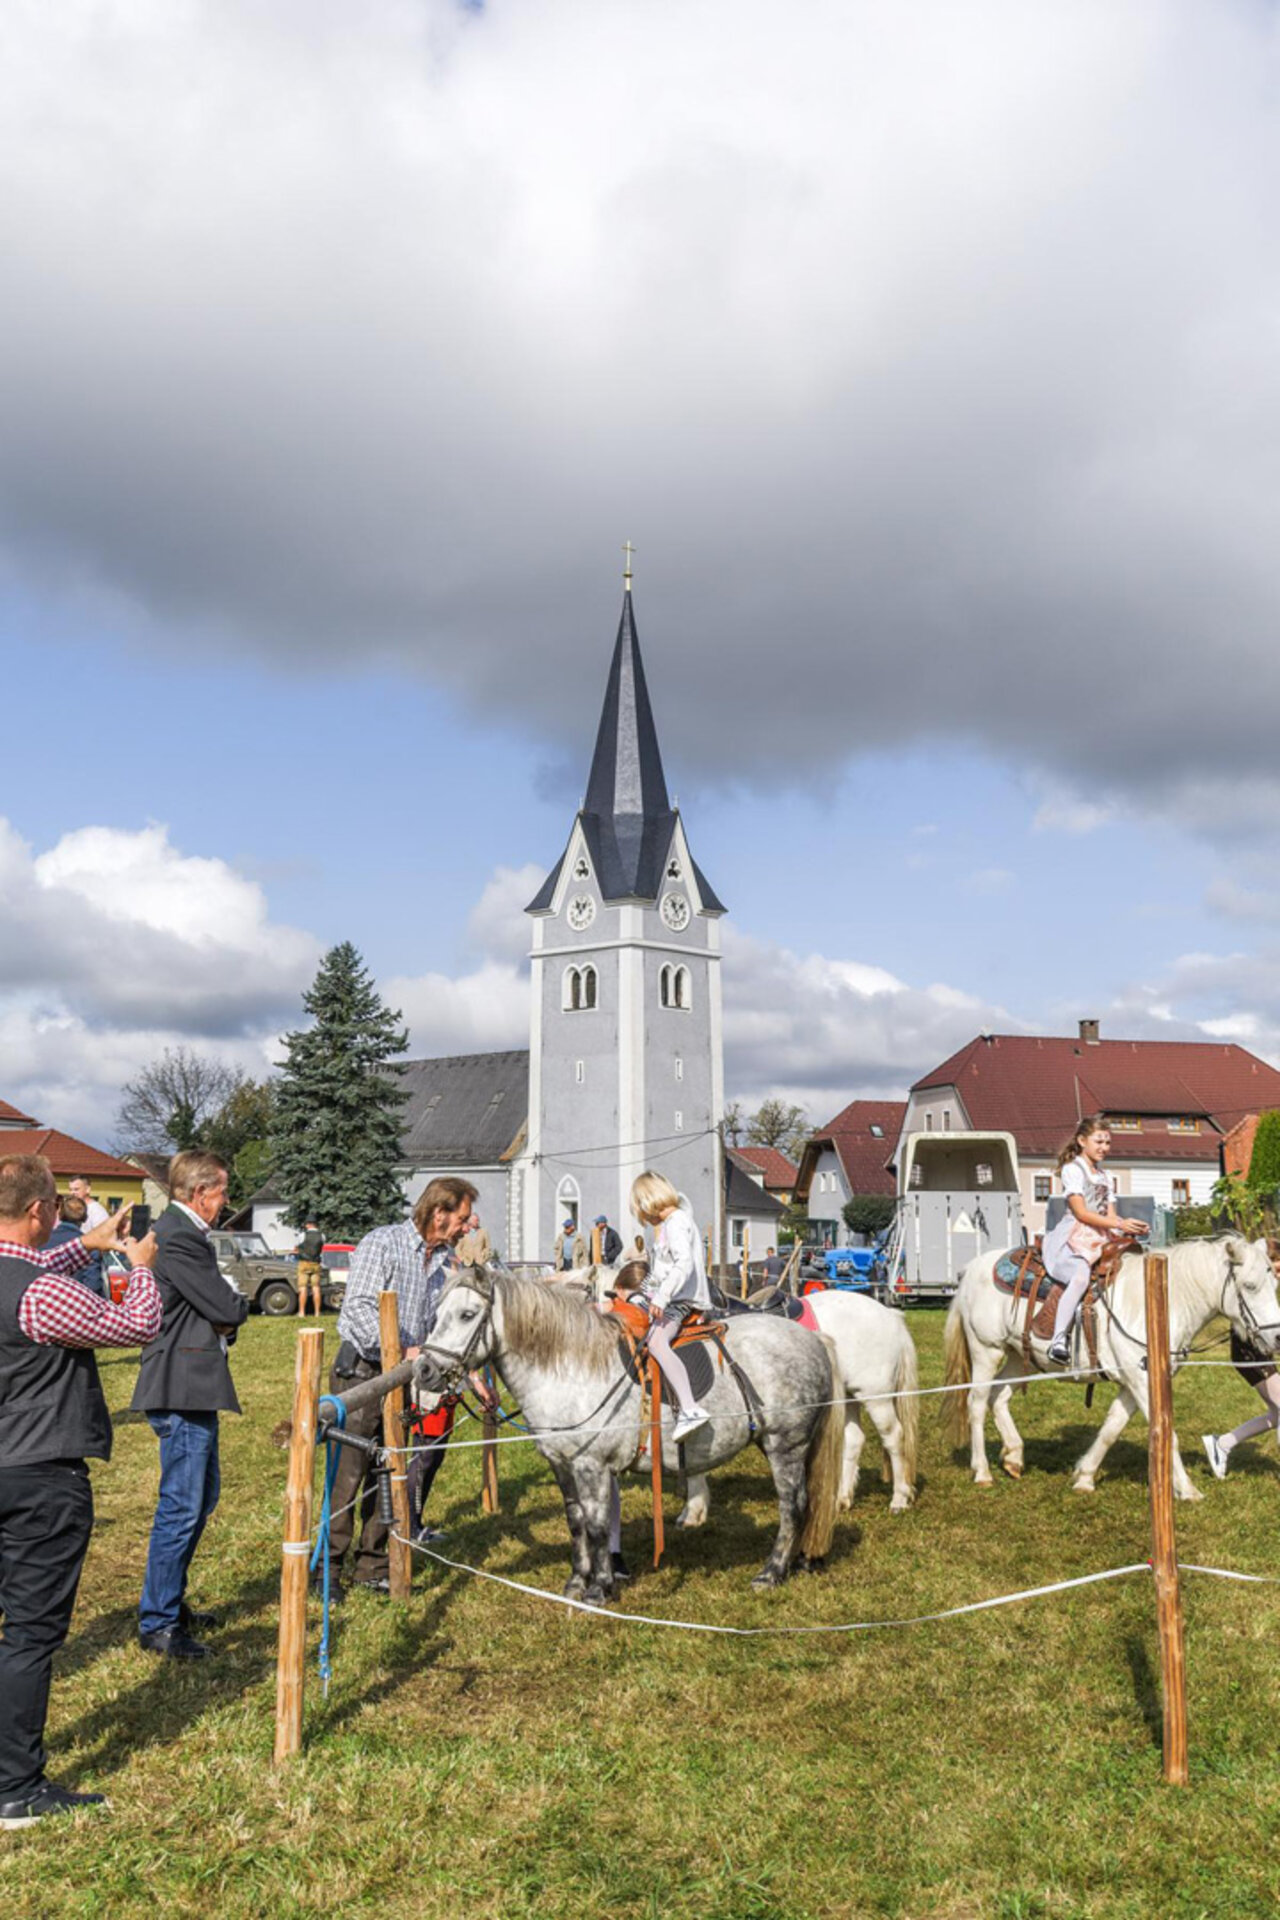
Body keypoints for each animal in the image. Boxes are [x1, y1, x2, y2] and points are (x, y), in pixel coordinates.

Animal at [412, 1263, 845, 1602]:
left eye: (468, 1314)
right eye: (437, 1313)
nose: (424, 1371)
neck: (570, 1368)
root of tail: (814, 1339)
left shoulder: (592, 1466)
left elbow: (598, 1525)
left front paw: (599, 1588)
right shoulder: (563, 1466)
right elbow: (576, 1523)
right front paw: (576, 1582)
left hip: (785, 1446)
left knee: (793, 1505)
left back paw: (771, 1572)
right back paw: (803, 1560)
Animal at [677, 1288, 920, 1529]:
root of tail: (890, 1315)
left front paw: (692, 1513)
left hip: (876, 1396)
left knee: (894, 1437)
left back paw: (899, 1499)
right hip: (849, 1395)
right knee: (854, 1440)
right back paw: (841, 1499)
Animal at [943, 1234, 1280, 1499]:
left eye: (1273, 1282)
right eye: (1250, 1286)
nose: (1277, 1336)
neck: (1159, 1302)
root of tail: (970, 1270)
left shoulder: (1133, 1384)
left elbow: (1111, 1428)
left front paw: (1084, 1477)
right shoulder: (1142, 1381)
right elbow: (1167, 1434)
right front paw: (1188, 1490)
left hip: (1018, 1355)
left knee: (999, 1396)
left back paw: (1013, 1456)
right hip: (986, 1350)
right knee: (976, 1403)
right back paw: (982, 1472)